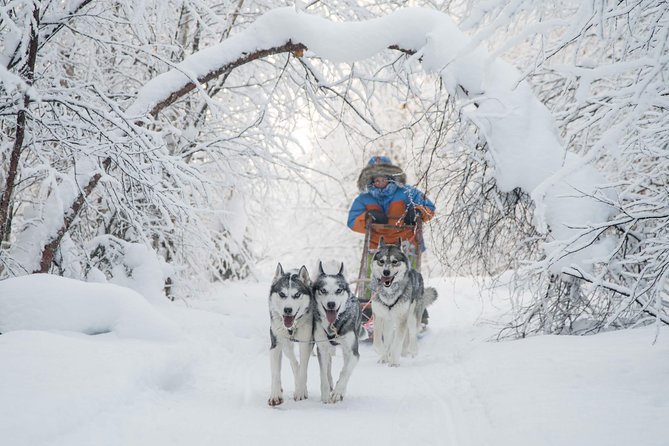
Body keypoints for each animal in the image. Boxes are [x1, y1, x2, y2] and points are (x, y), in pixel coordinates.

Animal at [266, 264, 314, 406]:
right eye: (282, 294)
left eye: (297, 294)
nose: (288, 310)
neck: (292, 327)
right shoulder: (275, 344)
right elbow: (275, 373)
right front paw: (275, 395)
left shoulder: (306, 343)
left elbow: (303, 370)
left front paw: (300, 392)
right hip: (285, 345)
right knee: (292, 360)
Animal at [312, 262, 362, 404]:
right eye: (323, 290)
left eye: (339, 290)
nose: (331, 304)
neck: (333, 325)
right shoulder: (322, 349)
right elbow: (323, 373)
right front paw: (325, 395)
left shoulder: (353, 352)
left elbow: (346, 371)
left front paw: (338, 392)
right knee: (328, 367)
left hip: (346, 350)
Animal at [368, 239, 436, 368]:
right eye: (381, 261)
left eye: (394, 261)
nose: (386, 272)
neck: (389, 293)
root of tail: (417, 272)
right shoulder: (378, 316)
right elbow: (378, 343)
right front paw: (384, 355)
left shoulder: (401, 318)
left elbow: (397, 343)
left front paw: (394, 362)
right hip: (389, 322)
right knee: (391, 338)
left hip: (412, 316)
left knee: (413, 332)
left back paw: (413, 350)